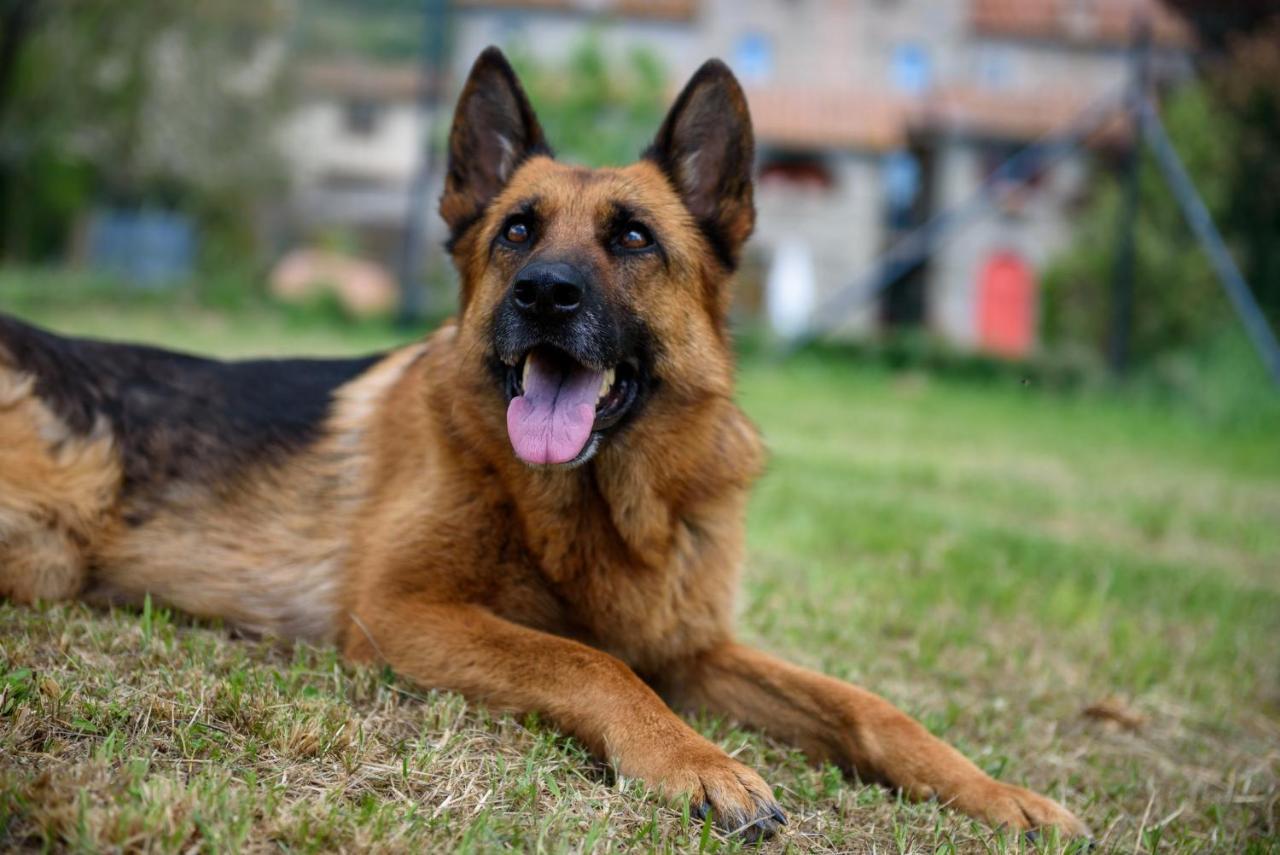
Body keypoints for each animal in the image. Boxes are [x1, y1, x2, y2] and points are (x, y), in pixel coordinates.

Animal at [0, 48, 1085, 839]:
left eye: (634, 238)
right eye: (516, 231)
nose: (543, 295)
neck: (600, 501)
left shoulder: (695, 649)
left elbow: (869, 704)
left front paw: (997, 792)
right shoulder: (404, 614)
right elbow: (586, 663)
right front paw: (694, 762)